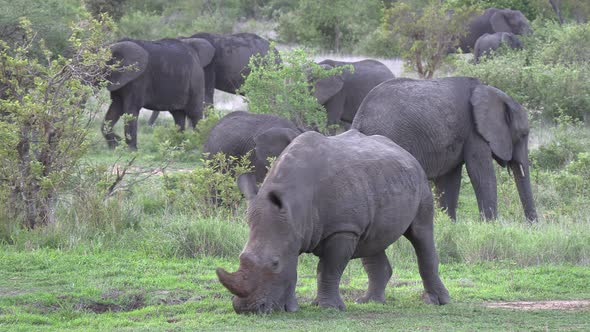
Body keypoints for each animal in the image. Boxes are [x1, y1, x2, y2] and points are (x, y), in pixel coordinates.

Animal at [220, 130, 450, 314]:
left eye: (275, 263)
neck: (296, 206)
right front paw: (292, 308)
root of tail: (404, 151)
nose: (246, 310)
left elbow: (328, 268)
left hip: (420, 180)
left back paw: (437, 302)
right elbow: (294, 269)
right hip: (381, 180)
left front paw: (327, 308)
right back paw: (369, 302)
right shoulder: (292, 230)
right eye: (241, 258)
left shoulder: (343, 229)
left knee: (421, 233)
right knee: (372, 241)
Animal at [354, 77, 540, 222]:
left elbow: (449, 181)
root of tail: (359, 118)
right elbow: (480, 175)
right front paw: (491, 226)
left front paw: (449, 225)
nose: (532, 227)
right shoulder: (474, 132)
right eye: (523, 134)